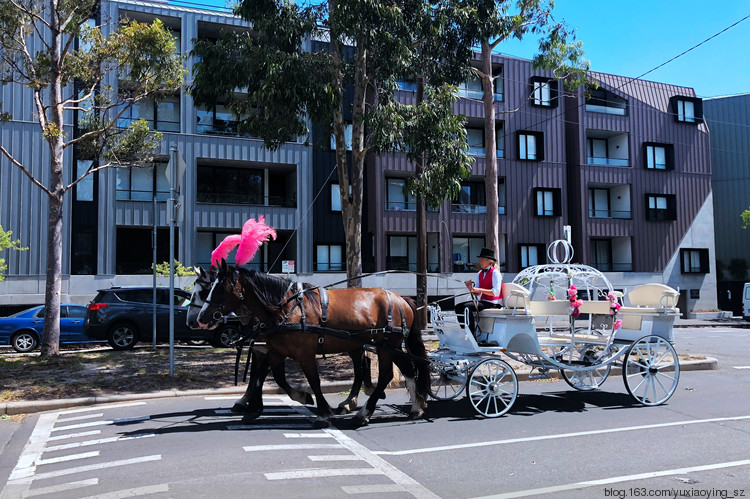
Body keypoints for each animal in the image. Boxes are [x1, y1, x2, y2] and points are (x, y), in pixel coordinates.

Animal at [197, 260, 432, 428]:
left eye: (219, 289)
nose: (200, 319)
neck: (286, 309)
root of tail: (402, 299)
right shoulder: (275, 351)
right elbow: (269, 377)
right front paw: (263, 405)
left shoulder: (304, 354)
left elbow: (313, 381)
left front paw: (323, 413)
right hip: (391, 345)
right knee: (407, 369)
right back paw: (416, 406)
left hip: (386, 345)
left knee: (385, 376)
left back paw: (364, 412)